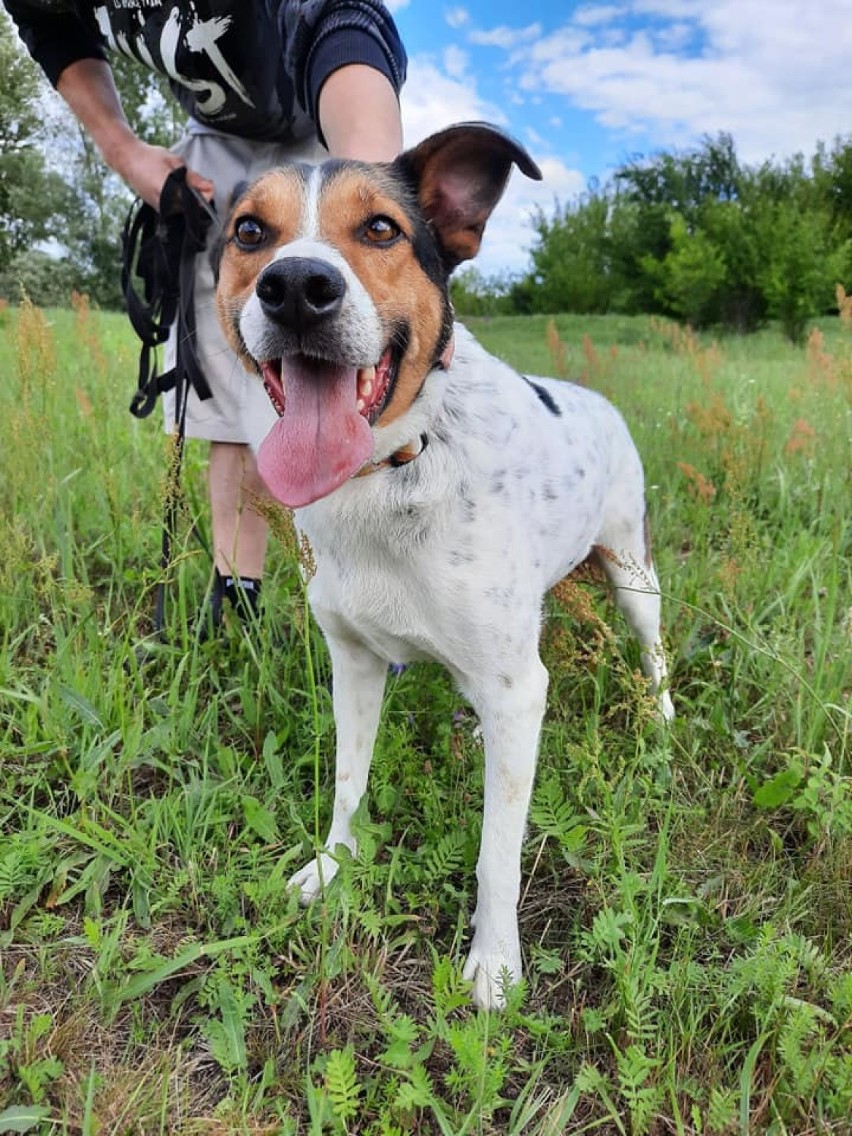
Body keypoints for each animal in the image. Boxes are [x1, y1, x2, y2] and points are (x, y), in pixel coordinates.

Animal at [212, 124, 672, 1013]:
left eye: (381, 229)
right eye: (250, 232)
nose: (297, 288)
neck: (392, 468)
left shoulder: (515, 685)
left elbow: (498, 851)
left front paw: (494, 965)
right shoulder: (355, 662)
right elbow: (348, 783)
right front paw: (332, 869)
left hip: (632, 571)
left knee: (652, 645)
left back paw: (664, 719)